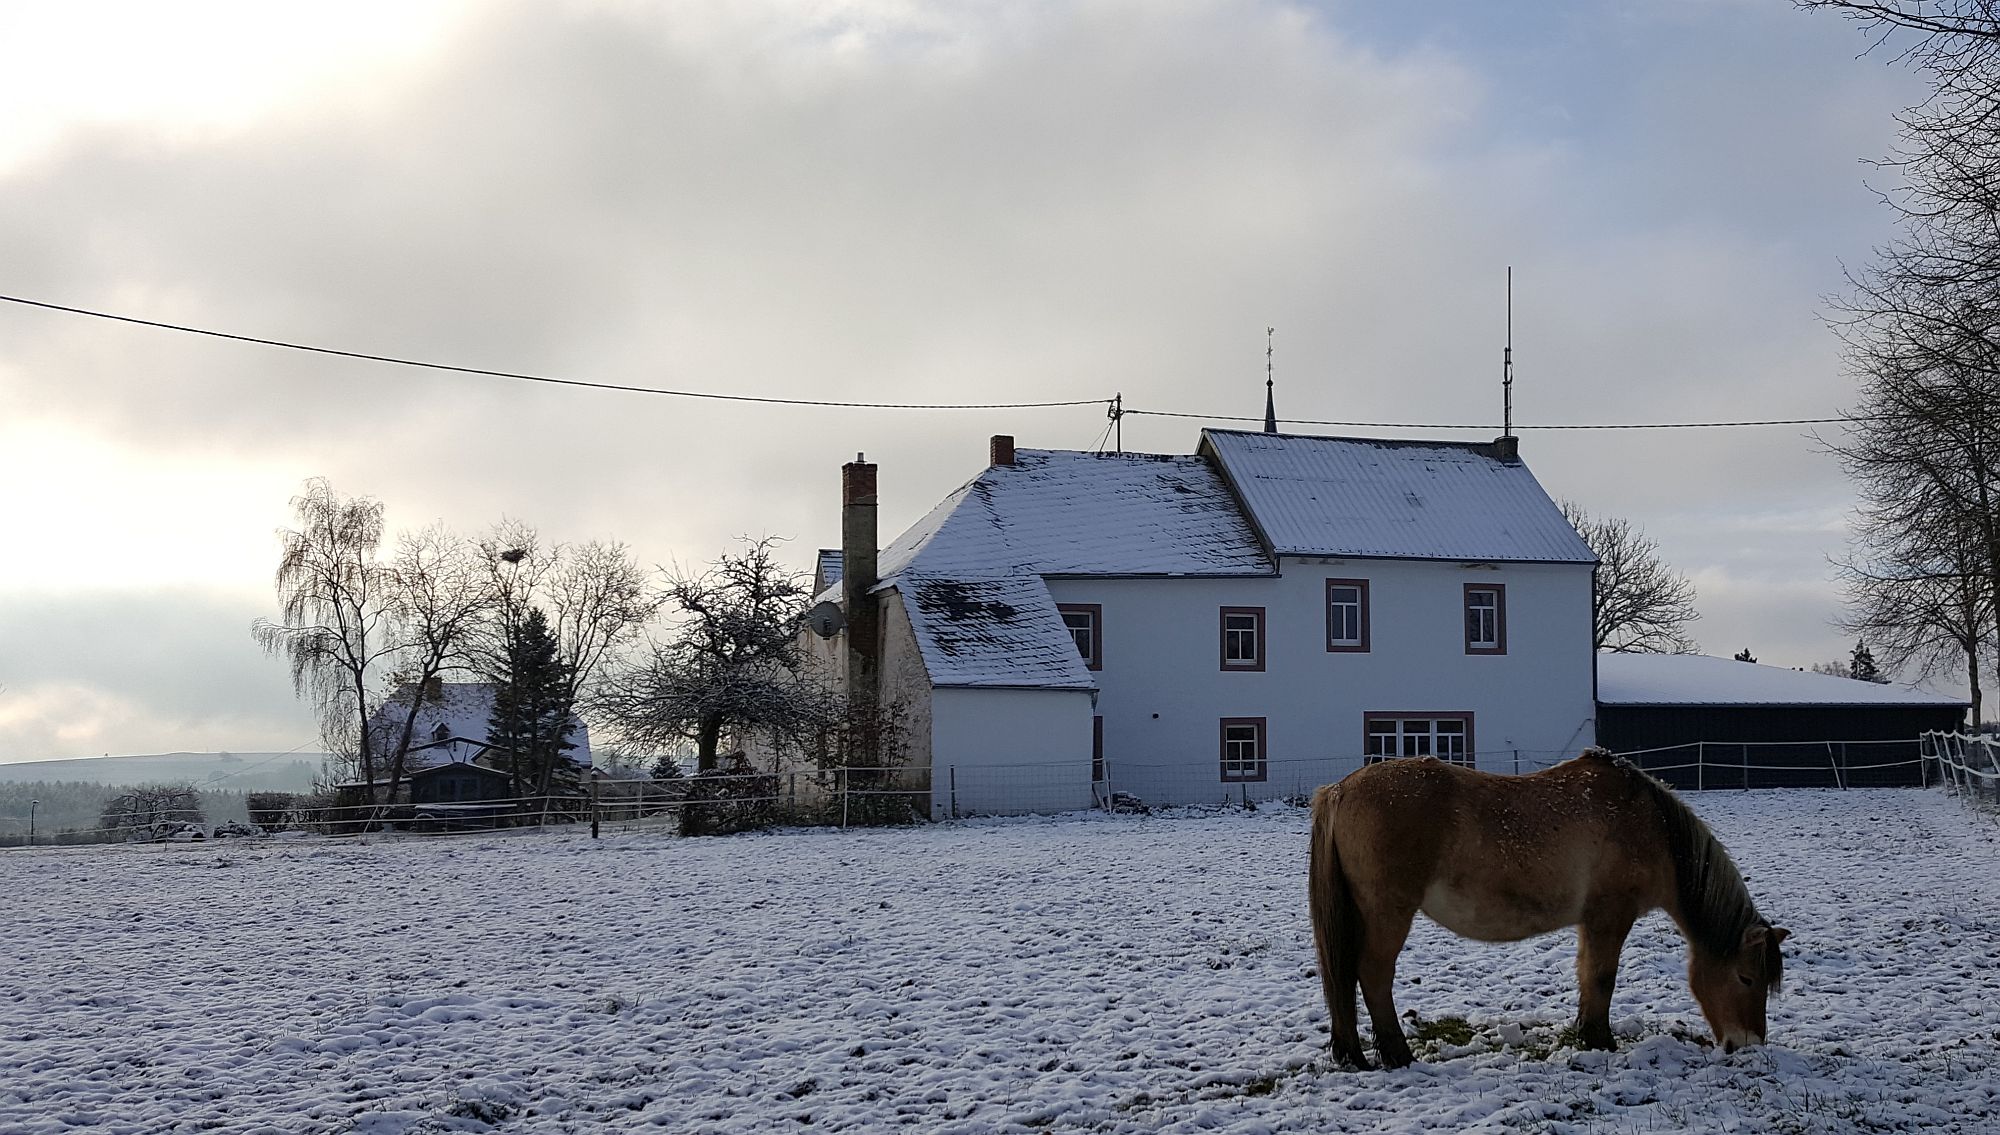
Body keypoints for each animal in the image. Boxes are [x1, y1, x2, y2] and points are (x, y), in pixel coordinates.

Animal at [1312, 747, 1800, 1071]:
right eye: (1746, 977)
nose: (1749, 1045)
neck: (1651, 828)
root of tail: (1339, 790)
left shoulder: (1591, 922)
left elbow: (1587, 976)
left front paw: (1587, 1035)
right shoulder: (1611, 916)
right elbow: (1602, 978)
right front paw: (1601, 1041)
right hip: (1387, 913)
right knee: (1372, 974)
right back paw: (1397, 1054)